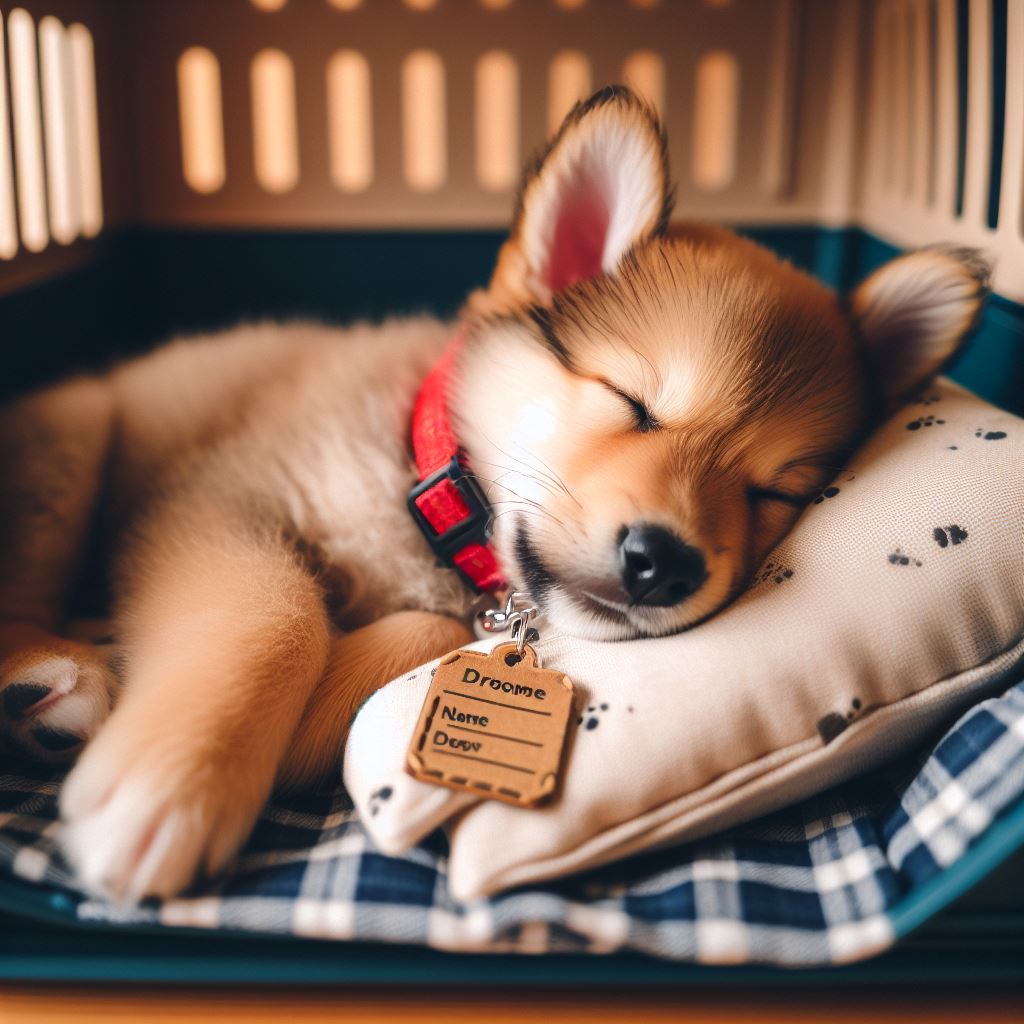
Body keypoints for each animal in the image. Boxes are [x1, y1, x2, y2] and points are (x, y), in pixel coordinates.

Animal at [0, 90, 987, 905]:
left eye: (774, 491)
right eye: (631, 400)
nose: (663, 563)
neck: (423, 485)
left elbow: (413, 632)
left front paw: (318, 705)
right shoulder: (219, 496)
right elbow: (279, 612)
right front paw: (172, 788)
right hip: (74, 443)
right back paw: (56, 678)